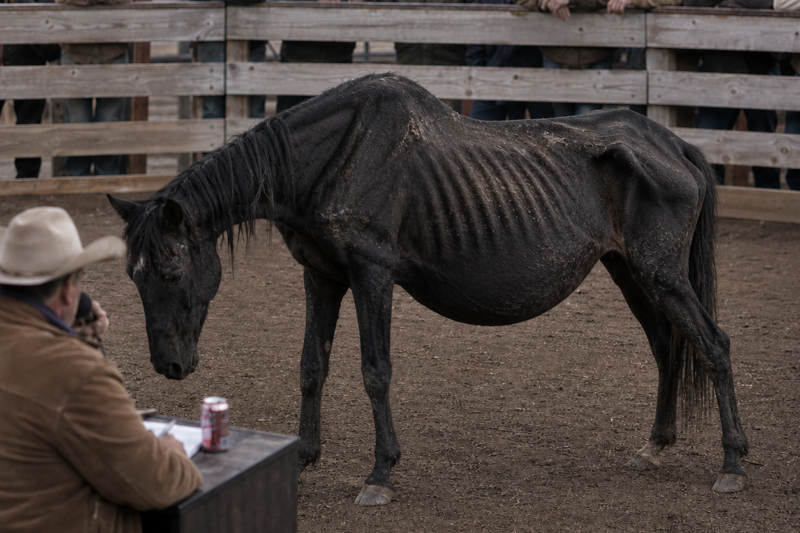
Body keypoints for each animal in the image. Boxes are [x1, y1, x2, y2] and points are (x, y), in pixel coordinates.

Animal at [108, 73, 748, 505]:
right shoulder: (322, 277)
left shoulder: (371, 274)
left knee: (713, 346)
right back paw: (656, 445)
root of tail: (673, 144)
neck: (330, 156)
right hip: (631, 272)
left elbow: (375, 371)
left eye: (170, 270)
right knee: (667, 347)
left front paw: (380, 474)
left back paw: (734, 463)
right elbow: (312, 366)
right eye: (133, 276)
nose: (168, 365)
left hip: (661, 274)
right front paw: (305, 457)